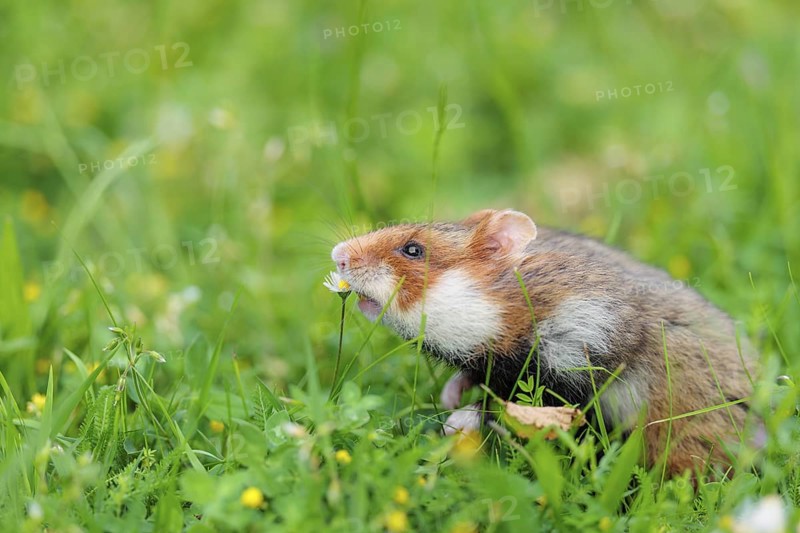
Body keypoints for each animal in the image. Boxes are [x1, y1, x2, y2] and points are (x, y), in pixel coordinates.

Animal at [331, 209, 762, 476]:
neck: (512, 305)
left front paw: (455, 422)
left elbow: (507, 405)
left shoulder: (577, 358)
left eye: (413, 249)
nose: (337, 255)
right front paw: (451, 397)